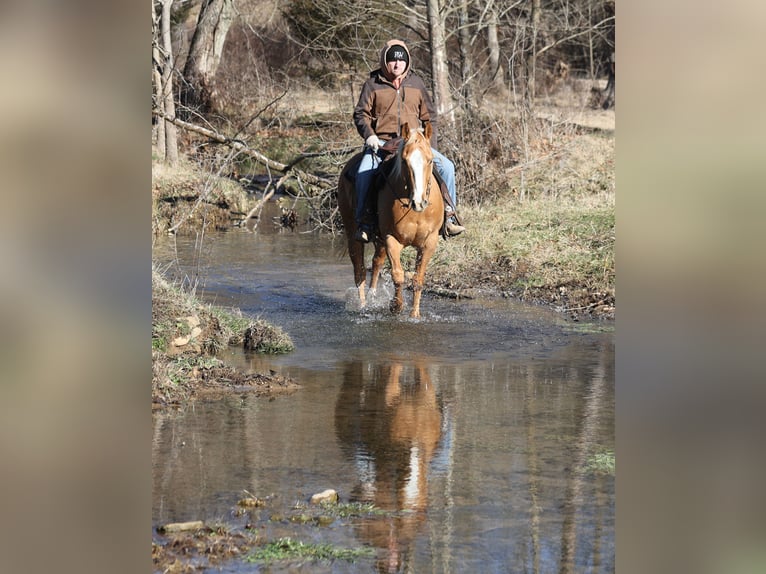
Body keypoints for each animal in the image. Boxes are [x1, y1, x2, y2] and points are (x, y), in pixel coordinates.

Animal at [338, 122, 444, 319]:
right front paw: (396, 306)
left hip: (379, 240)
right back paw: (363, 305)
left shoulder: (429, 242)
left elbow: (418, 278)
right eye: (405, 161)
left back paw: (372, 296)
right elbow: (398, 275)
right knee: (359, 270)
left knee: (376, 263)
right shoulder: (391, 239)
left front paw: (414, 314)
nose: (419, 202)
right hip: (352, 233)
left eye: (430, 160)